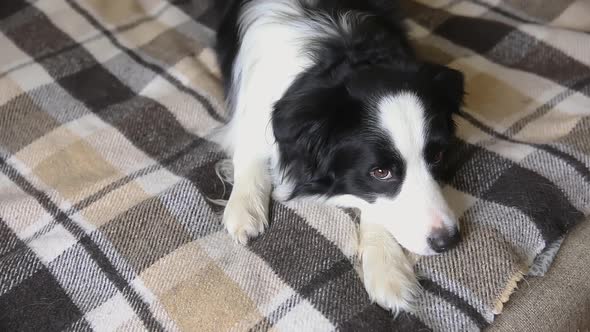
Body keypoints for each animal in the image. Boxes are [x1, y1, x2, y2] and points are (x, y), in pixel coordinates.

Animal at [213, 0, 468, 314]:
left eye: (438, 155)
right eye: (381, 172)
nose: (448, 241)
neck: (338, 49)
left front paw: (388, 271)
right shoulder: (252, 114)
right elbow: (249, 154)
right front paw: (244, 210)